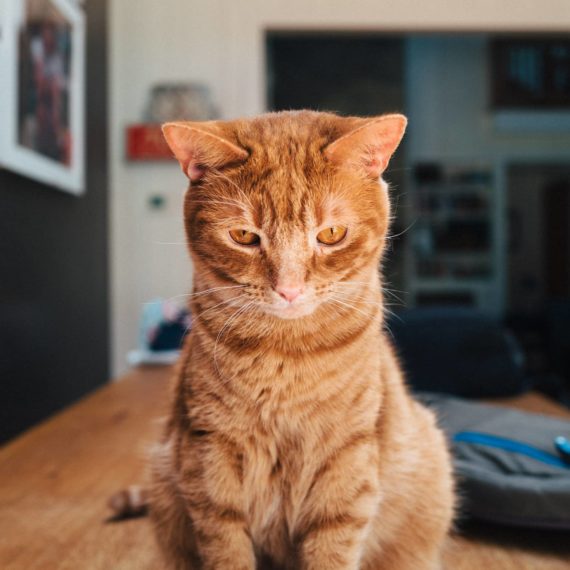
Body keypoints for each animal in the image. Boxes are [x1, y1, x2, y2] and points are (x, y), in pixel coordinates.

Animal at [148, 108, 452, 564]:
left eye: (330, 235)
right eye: (243, 236)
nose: (288, 289)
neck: (284, 358)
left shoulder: (345, 460)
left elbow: (332, 548)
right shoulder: (209, 456)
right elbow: (226, 546)